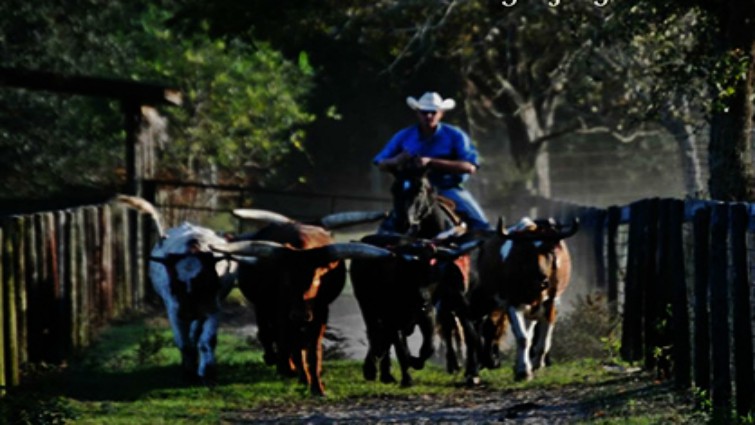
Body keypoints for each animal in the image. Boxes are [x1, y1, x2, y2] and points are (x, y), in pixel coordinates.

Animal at [116, 195, 237, 384]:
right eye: (173, 286)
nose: (187, 312)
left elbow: (207, 340)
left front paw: (208, 371)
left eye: (206, 283)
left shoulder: (212, 307)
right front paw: (189, 372)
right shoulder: (174, 310)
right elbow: (183, 343)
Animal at [215, 208, 391, 396]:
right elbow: (290, 343)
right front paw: (301, 376)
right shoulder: (283, 313)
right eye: (286, 280)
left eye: (316, 280)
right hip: (263, 305)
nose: (300, 314)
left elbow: (313, 349)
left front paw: (316, 385)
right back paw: (278, 362)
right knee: (268, 333)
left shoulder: (320, 313)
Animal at [471, 216, 578, 382]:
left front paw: (535, 364)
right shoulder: (512, 303)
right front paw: (523, 371)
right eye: (525, 252)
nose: (542, 279)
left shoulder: (551, 304)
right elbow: (522, 338)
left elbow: (544, 341)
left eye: (549, 250)